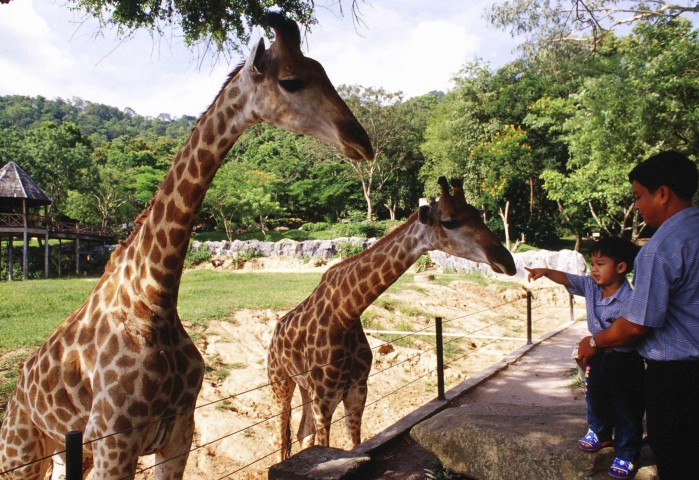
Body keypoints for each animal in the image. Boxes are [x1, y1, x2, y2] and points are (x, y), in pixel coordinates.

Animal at [0, 12, 374, 480]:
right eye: (291, 80)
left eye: (323, 72)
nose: (361, 141)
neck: (152, 303)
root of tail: (15, 396)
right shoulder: (114, 443)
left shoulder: (178, 435)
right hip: (20, 454)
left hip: (66, 453)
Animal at [270, 178, 520, 460]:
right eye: (449, 221)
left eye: (477, 214)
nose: (506, 261)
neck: (346, 312)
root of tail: (274, 335)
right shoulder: (325, 397)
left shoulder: (358, 390)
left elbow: (354, 445)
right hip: (280, 383)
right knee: (282, 438)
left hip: (304, 388)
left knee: (303, 434)